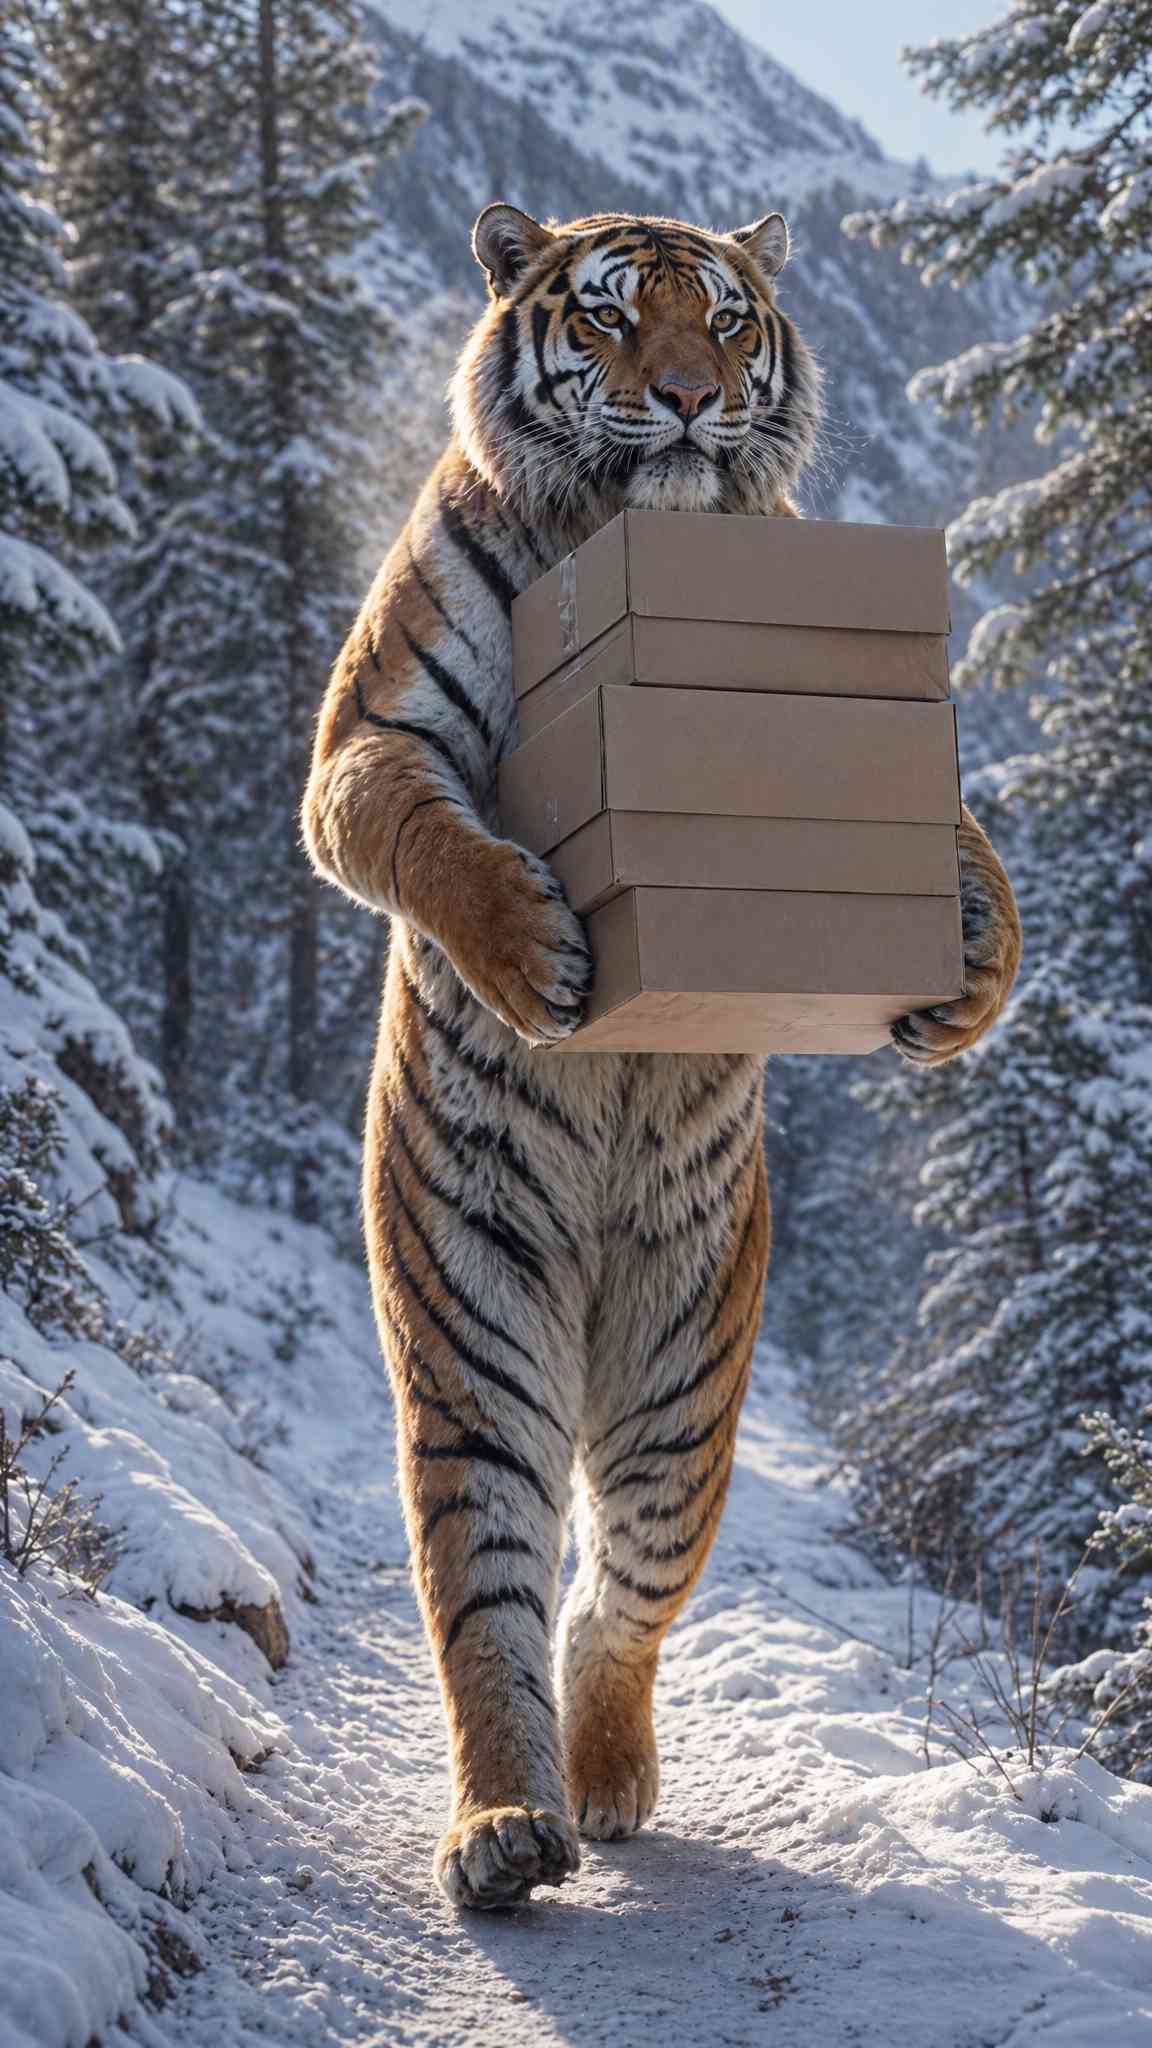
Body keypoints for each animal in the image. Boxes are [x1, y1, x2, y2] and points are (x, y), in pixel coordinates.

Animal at [302, 204, 1021, 1912]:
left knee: (621, 1591)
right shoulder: (369, 738)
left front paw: (970, 969)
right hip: (474, 1314)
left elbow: (963, 830)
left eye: (730, 319)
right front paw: (539, 953)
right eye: (616, 319)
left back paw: (608, 1771)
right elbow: (431, 833)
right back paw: (509, 1823)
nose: (693, 400)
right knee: (491, 1580)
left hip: (688, 1374)